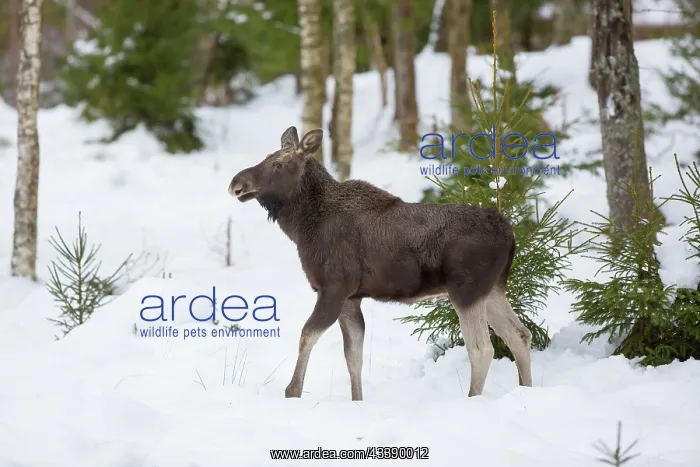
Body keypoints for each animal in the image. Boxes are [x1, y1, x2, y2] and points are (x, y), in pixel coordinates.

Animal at [228, 126, 533, 401]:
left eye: (278, 164)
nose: (236, 184)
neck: (302, 226)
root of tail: (509, 234)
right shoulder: (351, 297)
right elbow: (353, 356)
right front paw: (357, 400)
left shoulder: (334, 287)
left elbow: (307, 335)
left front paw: (293, 391)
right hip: (492, 290)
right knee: (520, 335)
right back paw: (526, 390)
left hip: (466, 290)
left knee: (482, 348)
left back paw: (473, 399)